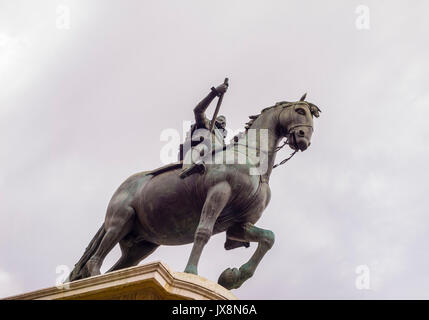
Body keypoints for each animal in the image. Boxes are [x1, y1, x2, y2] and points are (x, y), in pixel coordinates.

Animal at [67, 94, 320, 290]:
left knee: (118, 267)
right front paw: (190, 272)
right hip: (120, 221)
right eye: (299, 110)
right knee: (95, 260)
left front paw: (231, 278)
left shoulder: (238, 224)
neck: (252, 159)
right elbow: (203, 233)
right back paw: (95, 278)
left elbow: (268, 238)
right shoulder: (218, 193)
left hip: (142, 244)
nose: (304, 140)